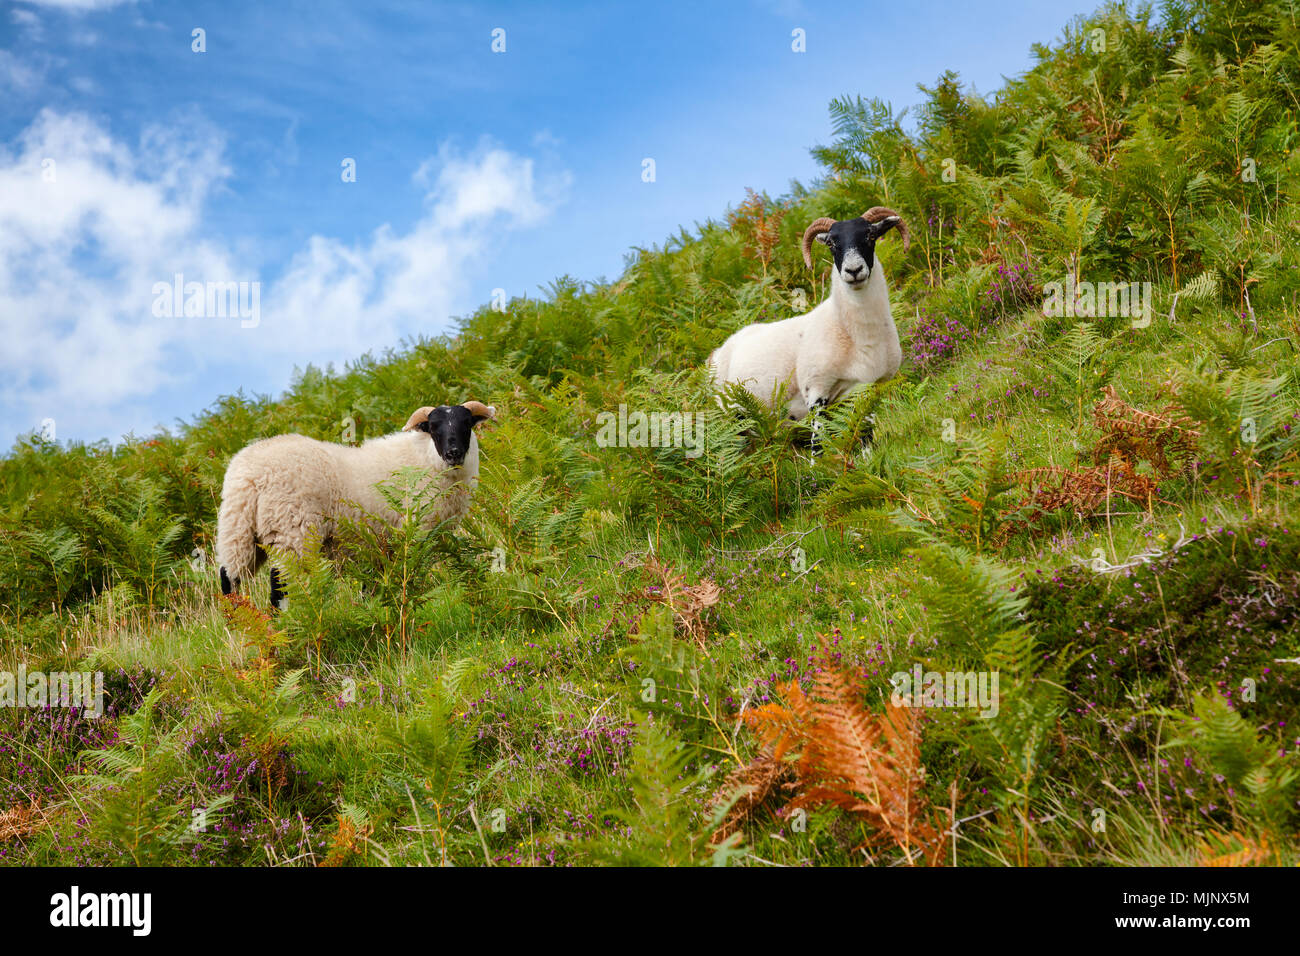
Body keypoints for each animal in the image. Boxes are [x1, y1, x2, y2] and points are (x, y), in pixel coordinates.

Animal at [215, 400, 493, 608]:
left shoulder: (379, 543)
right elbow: (413, 568)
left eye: (466, 424)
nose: (453, 453)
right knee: (279, 588)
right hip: (291, 532)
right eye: (433, 428)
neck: (423, 457)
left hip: (238, 531)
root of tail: (249, 477)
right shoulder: (416, 530)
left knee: (229, 578)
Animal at [707, 208, 909, 421]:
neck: (861, 337)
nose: (853, 270)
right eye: (831, 243)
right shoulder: (815, 391)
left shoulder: (871, 389)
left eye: (871, 235)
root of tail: (719, 350)